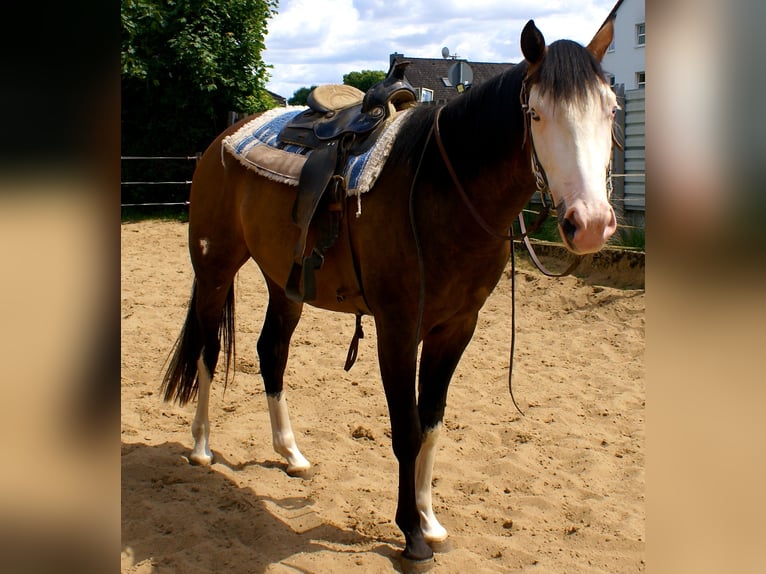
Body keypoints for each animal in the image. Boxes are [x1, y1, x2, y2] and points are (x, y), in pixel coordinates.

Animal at [161, 18, 618, 569]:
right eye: (536, 113)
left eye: (611, 109)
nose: (589, 224)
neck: (443, 188)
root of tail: (222, 140)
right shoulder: (397, 329)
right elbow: (405, 427)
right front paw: (411, 535)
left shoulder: (456, 329)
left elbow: (431, 426)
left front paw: (430, 520)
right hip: (214, 269)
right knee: (208, 350)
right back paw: (202, 447)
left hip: (284, 284)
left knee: (271, 352)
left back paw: (291, 454)